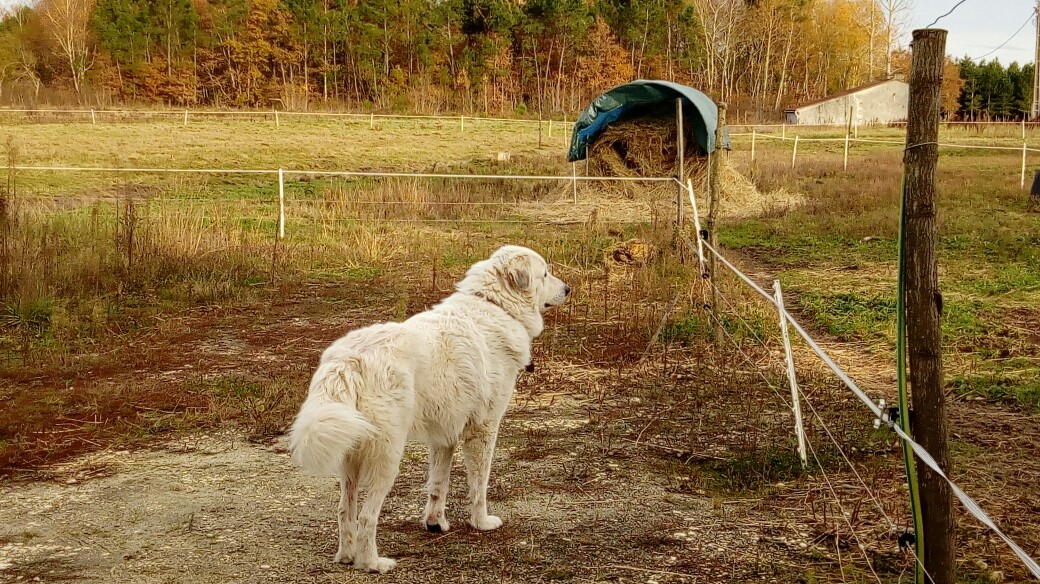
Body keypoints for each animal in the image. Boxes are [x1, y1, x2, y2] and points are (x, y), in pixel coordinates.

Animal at [289, 243, 574, 569]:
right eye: (545, 274)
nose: (568, 289)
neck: (496, 305)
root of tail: (347, 361)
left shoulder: (444, 436)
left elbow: (438, 484)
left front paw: (435, 523)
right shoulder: (484, 428)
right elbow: (480, 483)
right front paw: (481, 522)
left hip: (351, 454)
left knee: (345, 509)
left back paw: (347, 557)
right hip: (387, 455)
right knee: (366, 516)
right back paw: (373, 563)